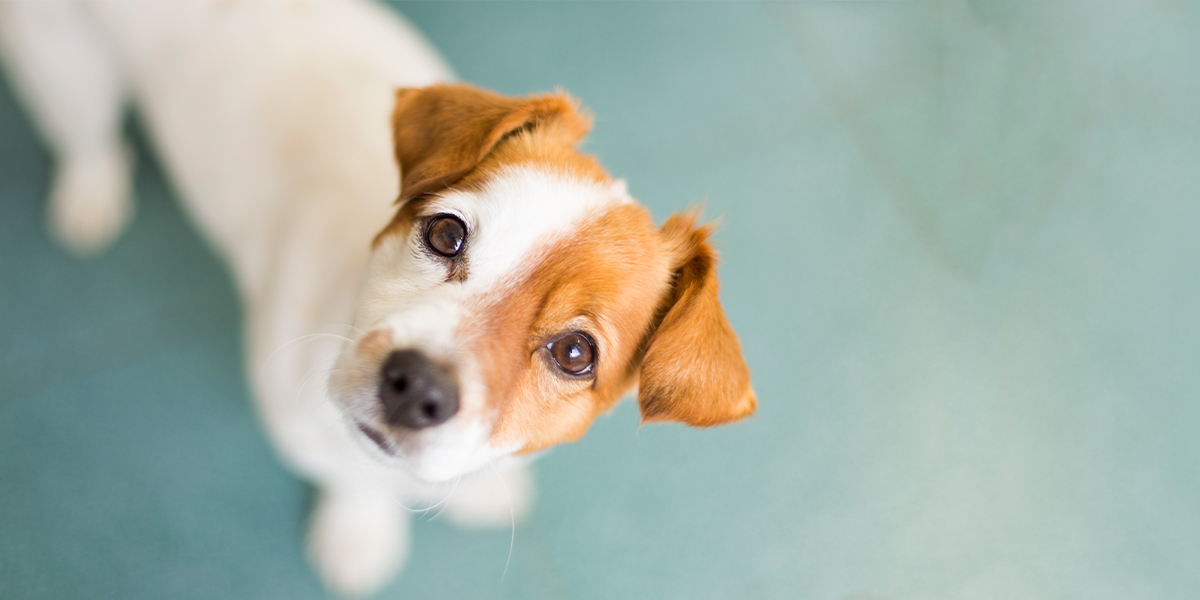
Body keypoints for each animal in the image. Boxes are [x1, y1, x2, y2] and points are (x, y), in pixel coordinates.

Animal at [0, 0, 748, 595]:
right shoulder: (299, 426)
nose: (415, 386)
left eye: (574, 353)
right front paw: (358, 531)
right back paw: (91, 192)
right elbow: (354, 480)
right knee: (86, 135)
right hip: (65, 71)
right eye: (446, 233)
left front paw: (480, 492)